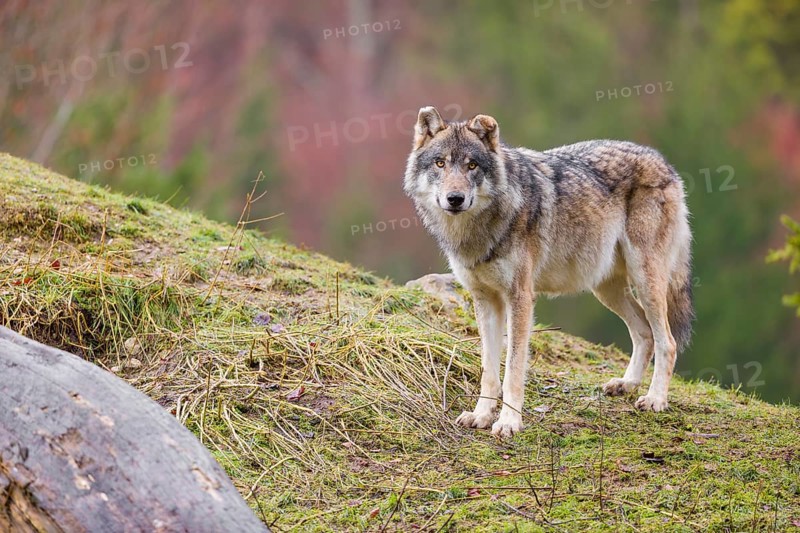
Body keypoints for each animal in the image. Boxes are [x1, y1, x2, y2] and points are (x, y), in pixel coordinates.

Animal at [404, 106, 694, 438]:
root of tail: (662, 160)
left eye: (472, 165)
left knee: (667, 341)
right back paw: (626, 384)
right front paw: (481, 416)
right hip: (606, 289)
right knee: (644, 332)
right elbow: (489, 370)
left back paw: (655, 399)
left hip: (645, 280)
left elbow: (513, 368)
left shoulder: (520, 298)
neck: (478, 230)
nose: (455, 199)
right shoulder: (485, 299)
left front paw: (509, 422)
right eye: (440, 163)